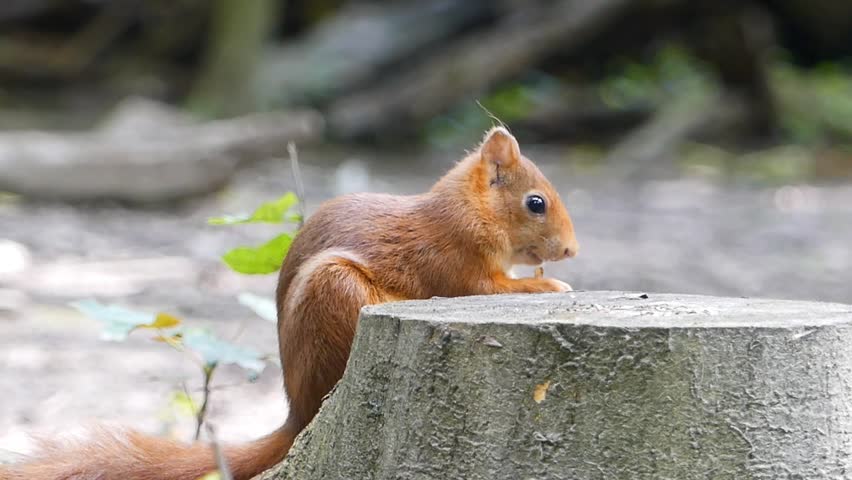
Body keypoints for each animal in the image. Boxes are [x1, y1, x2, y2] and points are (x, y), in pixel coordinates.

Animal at [0, 126, 578, 480]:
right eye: (535, 203)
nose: (572, 251)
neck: (465, 210)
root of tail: (298, 413)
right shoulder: (453, 265)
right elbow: (490, 288)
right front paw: (550, 287)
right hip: (335, 291)